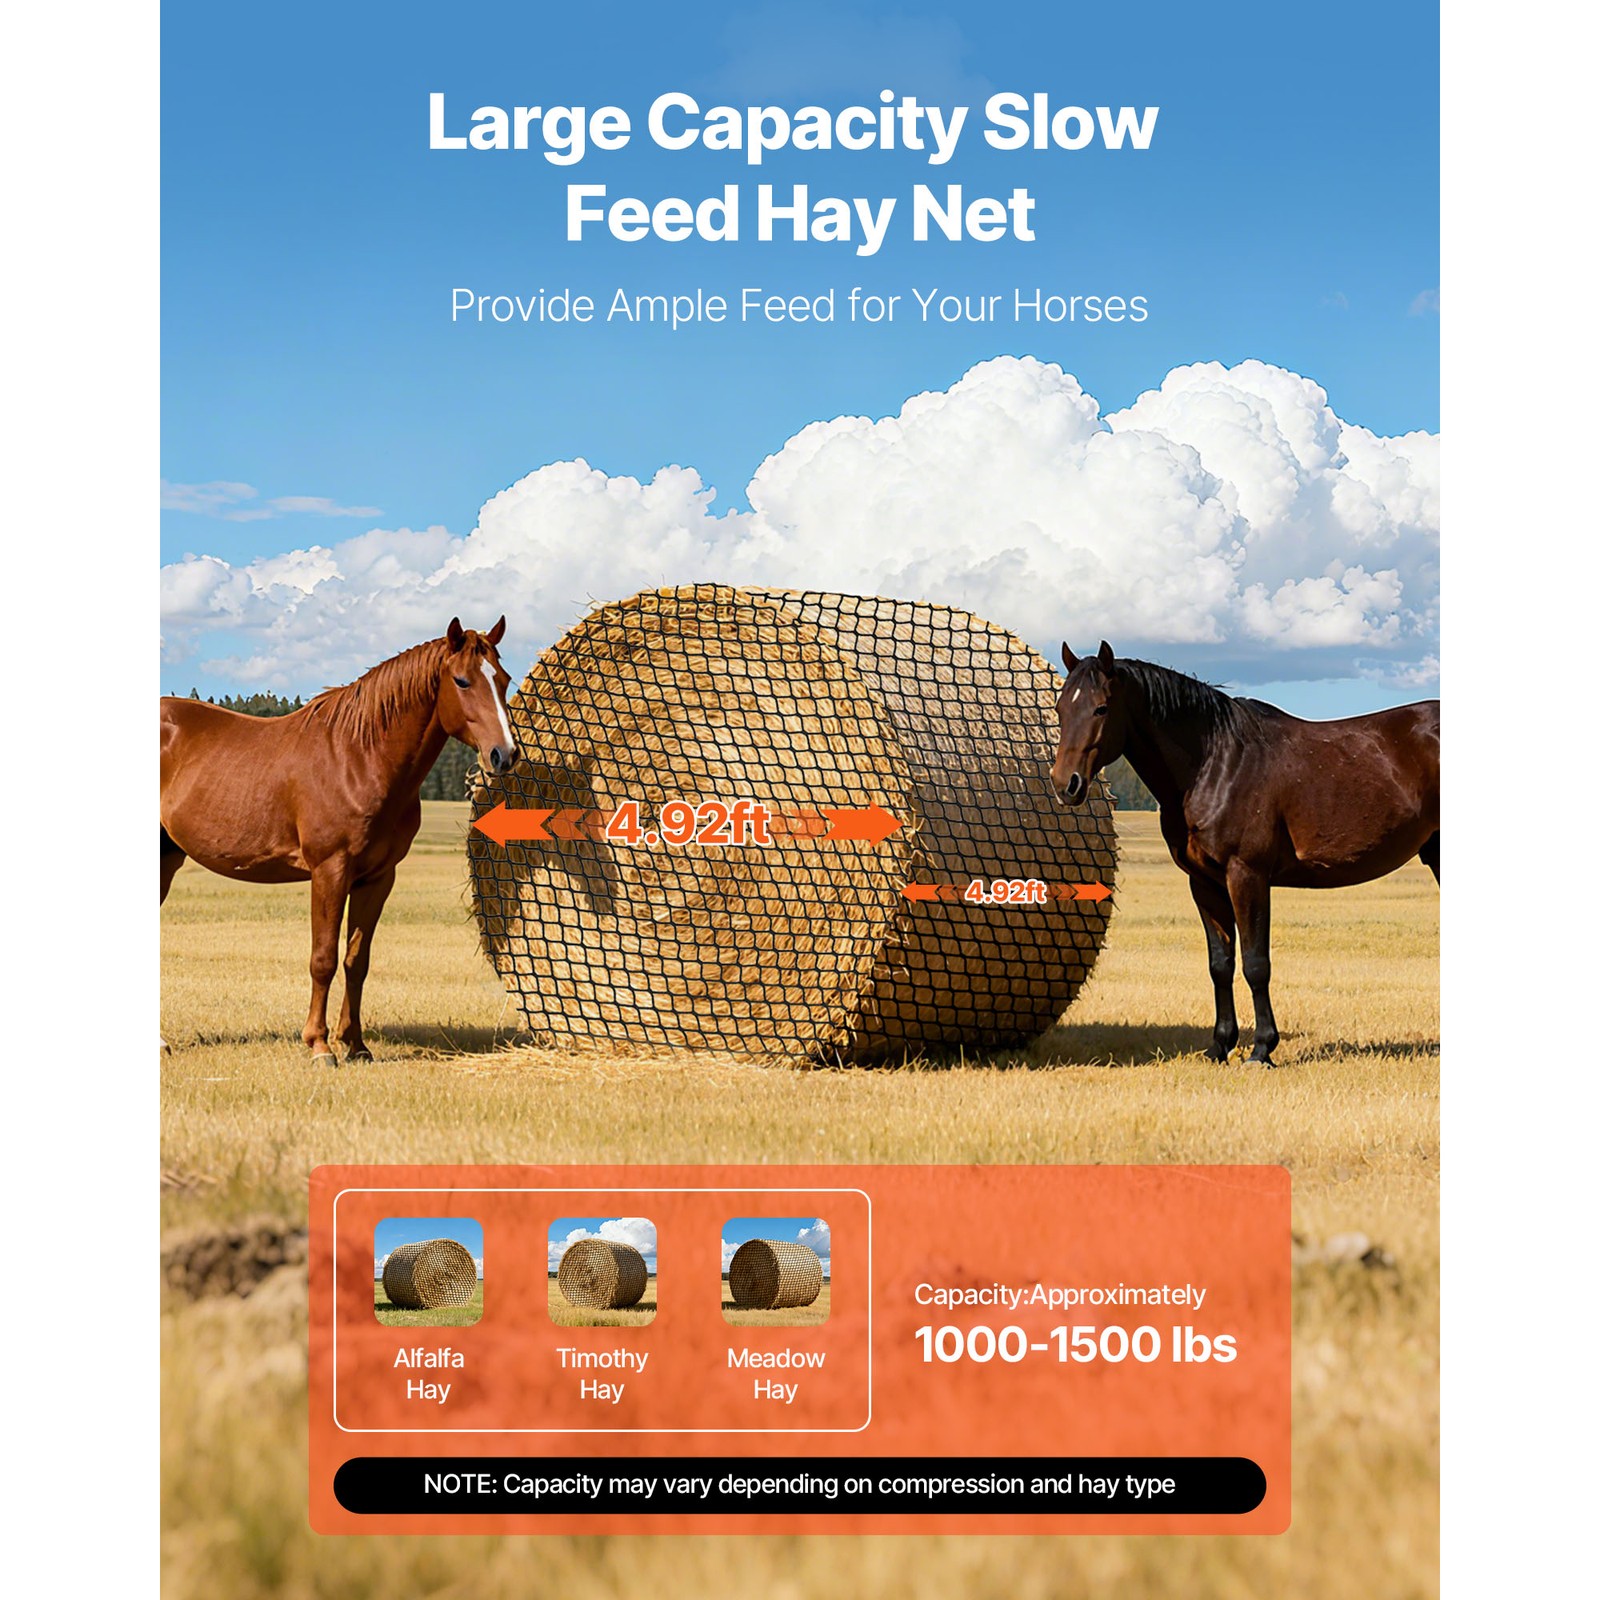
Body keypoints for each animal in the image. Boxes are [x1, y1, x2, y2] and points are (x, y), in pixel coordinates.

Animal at [160, 618, 520, 1064]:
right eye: (462, 680)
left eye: (503, 679)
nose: (505, 754)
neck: (357, 758)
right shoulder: (329, 871)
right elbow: (323, 958)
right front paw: (319, 1045)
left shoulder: (377, 878)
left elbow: (356, 960)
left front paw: (356, 1044)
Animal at [1050, 641, 1439, 1067]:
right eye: (1060, 708)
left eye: (1102, 708)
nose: (1065, 784)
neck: (1216, 764)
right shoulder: (1204, 883)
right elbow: (1220, 964)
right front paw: (1220, 1045)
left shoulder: (1246, 875)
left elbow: (1256, 963)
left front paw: (1262, 1048)